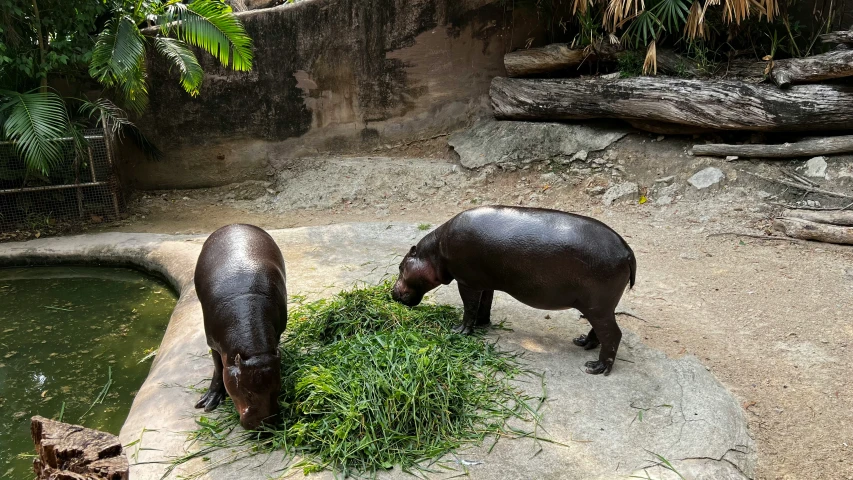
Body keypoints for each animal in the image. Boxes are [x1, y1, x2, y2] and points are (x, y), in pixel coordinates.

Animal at [192, 223, 286, 430]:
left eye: (277, 387)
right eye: (247, 391)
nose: (263, 424)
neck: (254, 352)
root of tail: (235, 225)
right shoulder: (214, 343)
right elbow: (218, 369)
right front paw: (208, 402)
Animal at [392, 205, 632, 376]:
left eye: (400, 266)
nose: (391, 293)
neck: (434, 253)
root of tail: (628, 251)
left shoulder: (466, 282)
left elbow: (469, 307)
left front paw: (459, 331)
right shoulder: (484, 282)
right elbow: (484, 304)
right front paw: (482, 324)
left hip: (597, 305)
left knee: (613, 334)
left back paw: (596, 368)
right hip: (599, 307)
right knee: (599, 330)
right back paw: (583, 343)